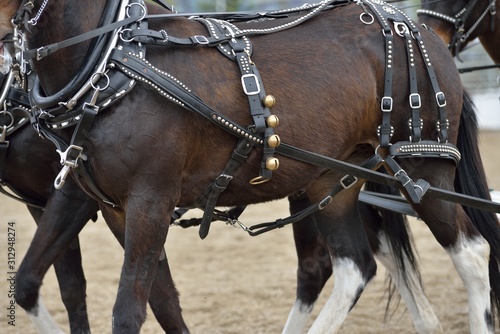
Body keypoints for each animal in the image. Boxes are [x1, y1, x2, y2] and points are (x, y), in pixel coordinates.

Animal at [3, 0, 500, 332]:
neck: (110, 62)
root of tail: (419, 30)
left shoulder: (149, 201)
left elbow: (128, 311)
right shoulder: (103, 205)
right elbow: (158, 301)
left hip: (422, 171)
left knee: (471, 254)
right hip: (332, 181)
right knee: (354, 268)